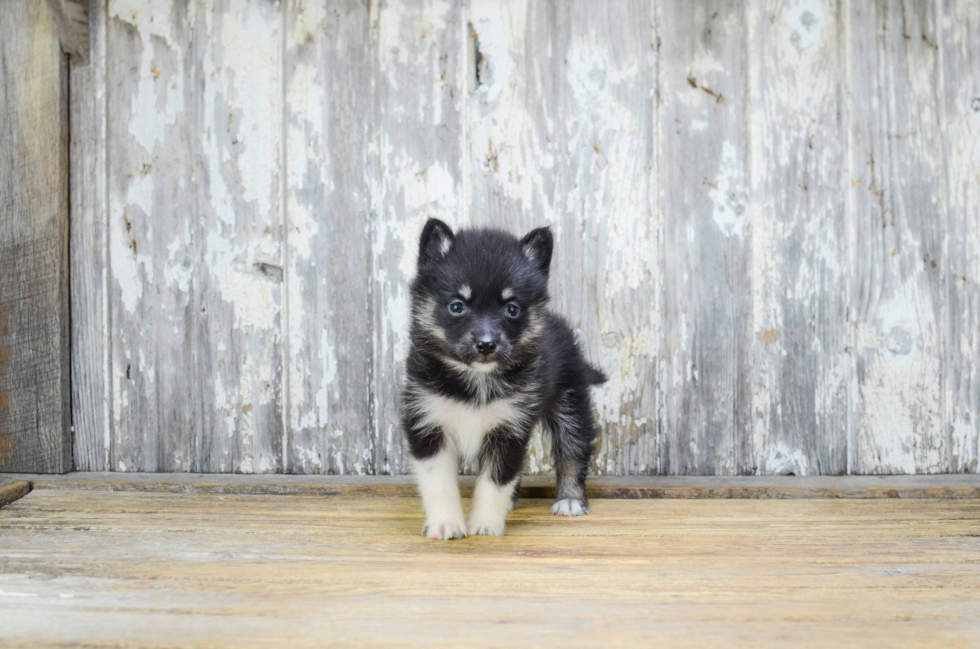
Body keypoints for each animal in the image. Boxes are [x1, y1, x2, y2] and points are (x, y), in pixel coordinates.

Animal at [400, 218, 604, 536]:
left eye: (512, 309)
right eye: (457, 306)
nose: (486, 345)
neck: (476, 380)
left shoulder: (509, 430)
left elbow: (496, 480)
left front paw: (484, 523)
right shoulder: (427, 422)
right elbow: (439, 482)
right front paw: (446, 523)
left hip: (570, 399)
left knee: (573, 448)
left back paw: (570, 500)